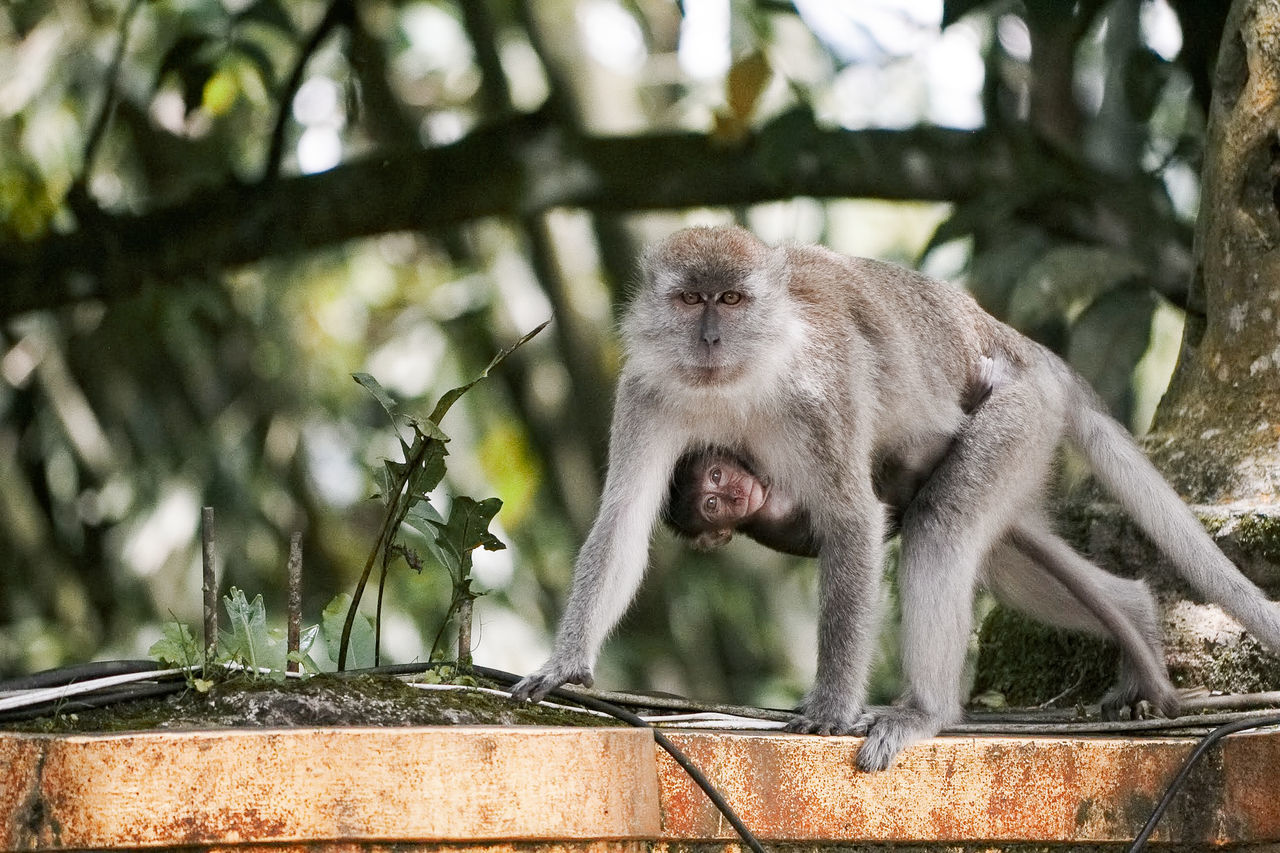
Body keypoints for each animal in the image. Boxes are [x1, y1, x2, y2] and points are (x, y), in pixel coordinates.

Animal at [509, 225, 1280, 768]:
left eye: (730, 299)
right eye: (688, 299)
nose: (709, 336)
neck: (739, 377)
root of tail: (1013, 341)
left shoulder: (822, 390)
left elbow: (851, 520)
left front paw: (830, 707)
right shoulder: (646, 388)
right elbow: (623, 518)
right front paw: (565, 666)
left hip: (1016, 413)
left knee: (943, 526)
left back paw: (927, 711)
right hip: (1025, 439)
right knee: (1001, 558)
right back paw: (1137, 617)